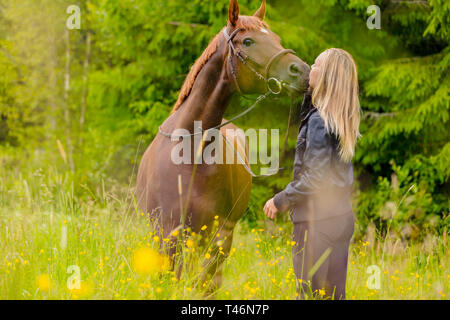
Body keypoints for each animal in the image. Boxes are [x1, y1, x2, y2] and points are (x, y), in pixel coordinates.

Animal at [135, 0, 308, 296]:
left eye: (276, 39)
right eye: (248, 41)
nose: (302, 71)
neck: (190, 153)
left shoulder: (218, 235)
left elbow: (204, 283)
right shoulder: (166, 232)